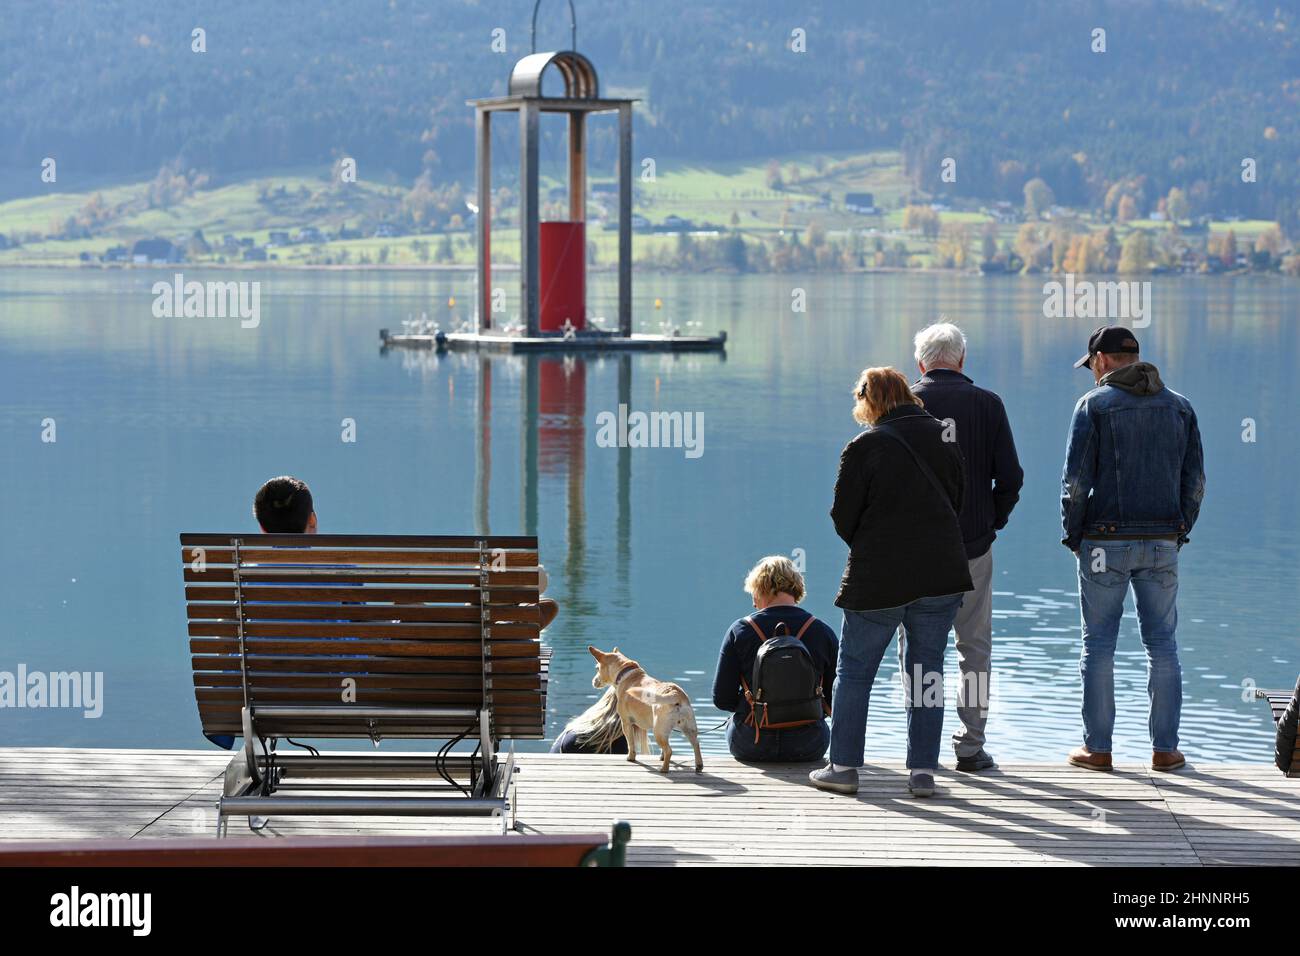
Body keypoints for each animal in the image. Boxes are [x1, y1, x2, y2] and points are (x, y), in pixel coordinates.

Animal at [592, 647, 707, 775]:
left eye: (597, 668)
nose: (594, 681)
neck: (626, 673)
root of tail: (675, 693)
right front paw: (661, 757)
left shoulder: (626, 723)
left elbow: (631, 743)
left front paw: (631, 757)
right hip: (688, 728)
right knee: (696, 744)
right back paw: (698, 765)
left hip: (658, 731)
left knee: (669, 750)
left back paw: (664, 769)